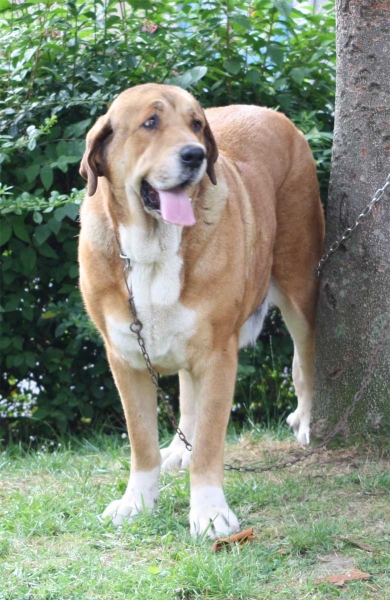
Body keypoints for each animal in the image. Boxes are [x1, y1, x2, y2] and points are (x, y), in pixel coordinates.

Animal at [77, 82, 324, 536]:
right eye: (150, 122)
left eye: (195, 124)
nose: (195, 155)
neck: (153, 248)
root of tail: (270, 112)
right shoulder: (125, 356)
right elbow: (141, 441)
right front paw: (137, 502)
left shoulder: (217, 354)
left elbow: (210, 440)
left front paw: (210, 513)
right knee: (187, 395)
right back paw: (178, 449)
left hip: (299, 284)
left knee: (304, 360)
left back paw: (306, 422)